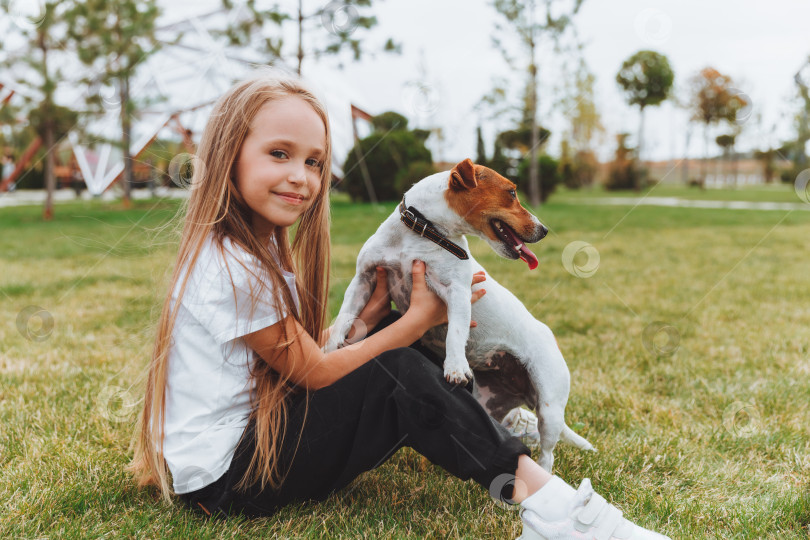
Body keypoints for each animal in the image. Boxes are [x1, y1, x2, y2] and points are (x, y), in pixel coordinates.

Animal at [324, 158, 592, 470]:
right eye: (512, 192)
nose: (545, 229)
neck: (422, 230)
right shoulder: (364, 279)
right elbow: (345, 316)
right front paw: (331, 348)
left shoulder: (458, 292)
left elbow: (455, 332)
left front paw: (454, 367)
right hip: (488, 402)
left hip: (549, 408)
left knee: (548, 454)